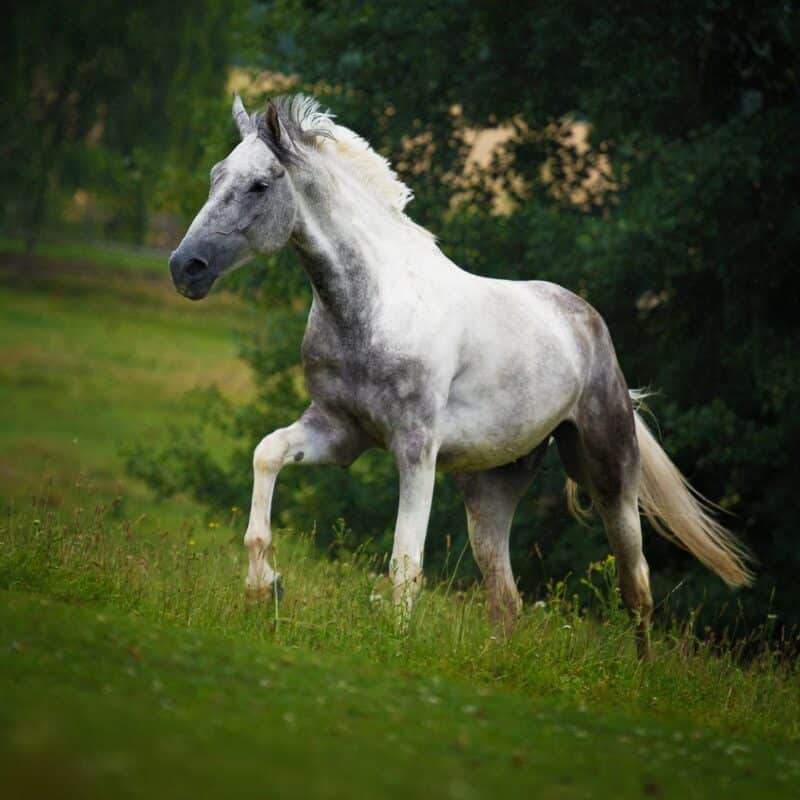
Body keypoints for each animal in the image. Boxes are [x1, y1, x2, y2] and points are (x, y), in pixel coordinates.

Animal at [168, 94, 752, 656]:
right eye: (217, 175)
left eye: (260, 184)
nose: (185, 267)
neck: (370, 308)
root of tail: (589, 324)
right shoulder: (338, 432)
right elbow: (266, 454)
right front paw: (263, 588)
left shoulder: (415, 449)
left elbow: (405, 562)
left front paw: (394, 646)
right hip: (489, 491)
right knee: (507, 598)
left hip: (610, 474)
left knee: (637, 586)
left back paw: (640, 675)